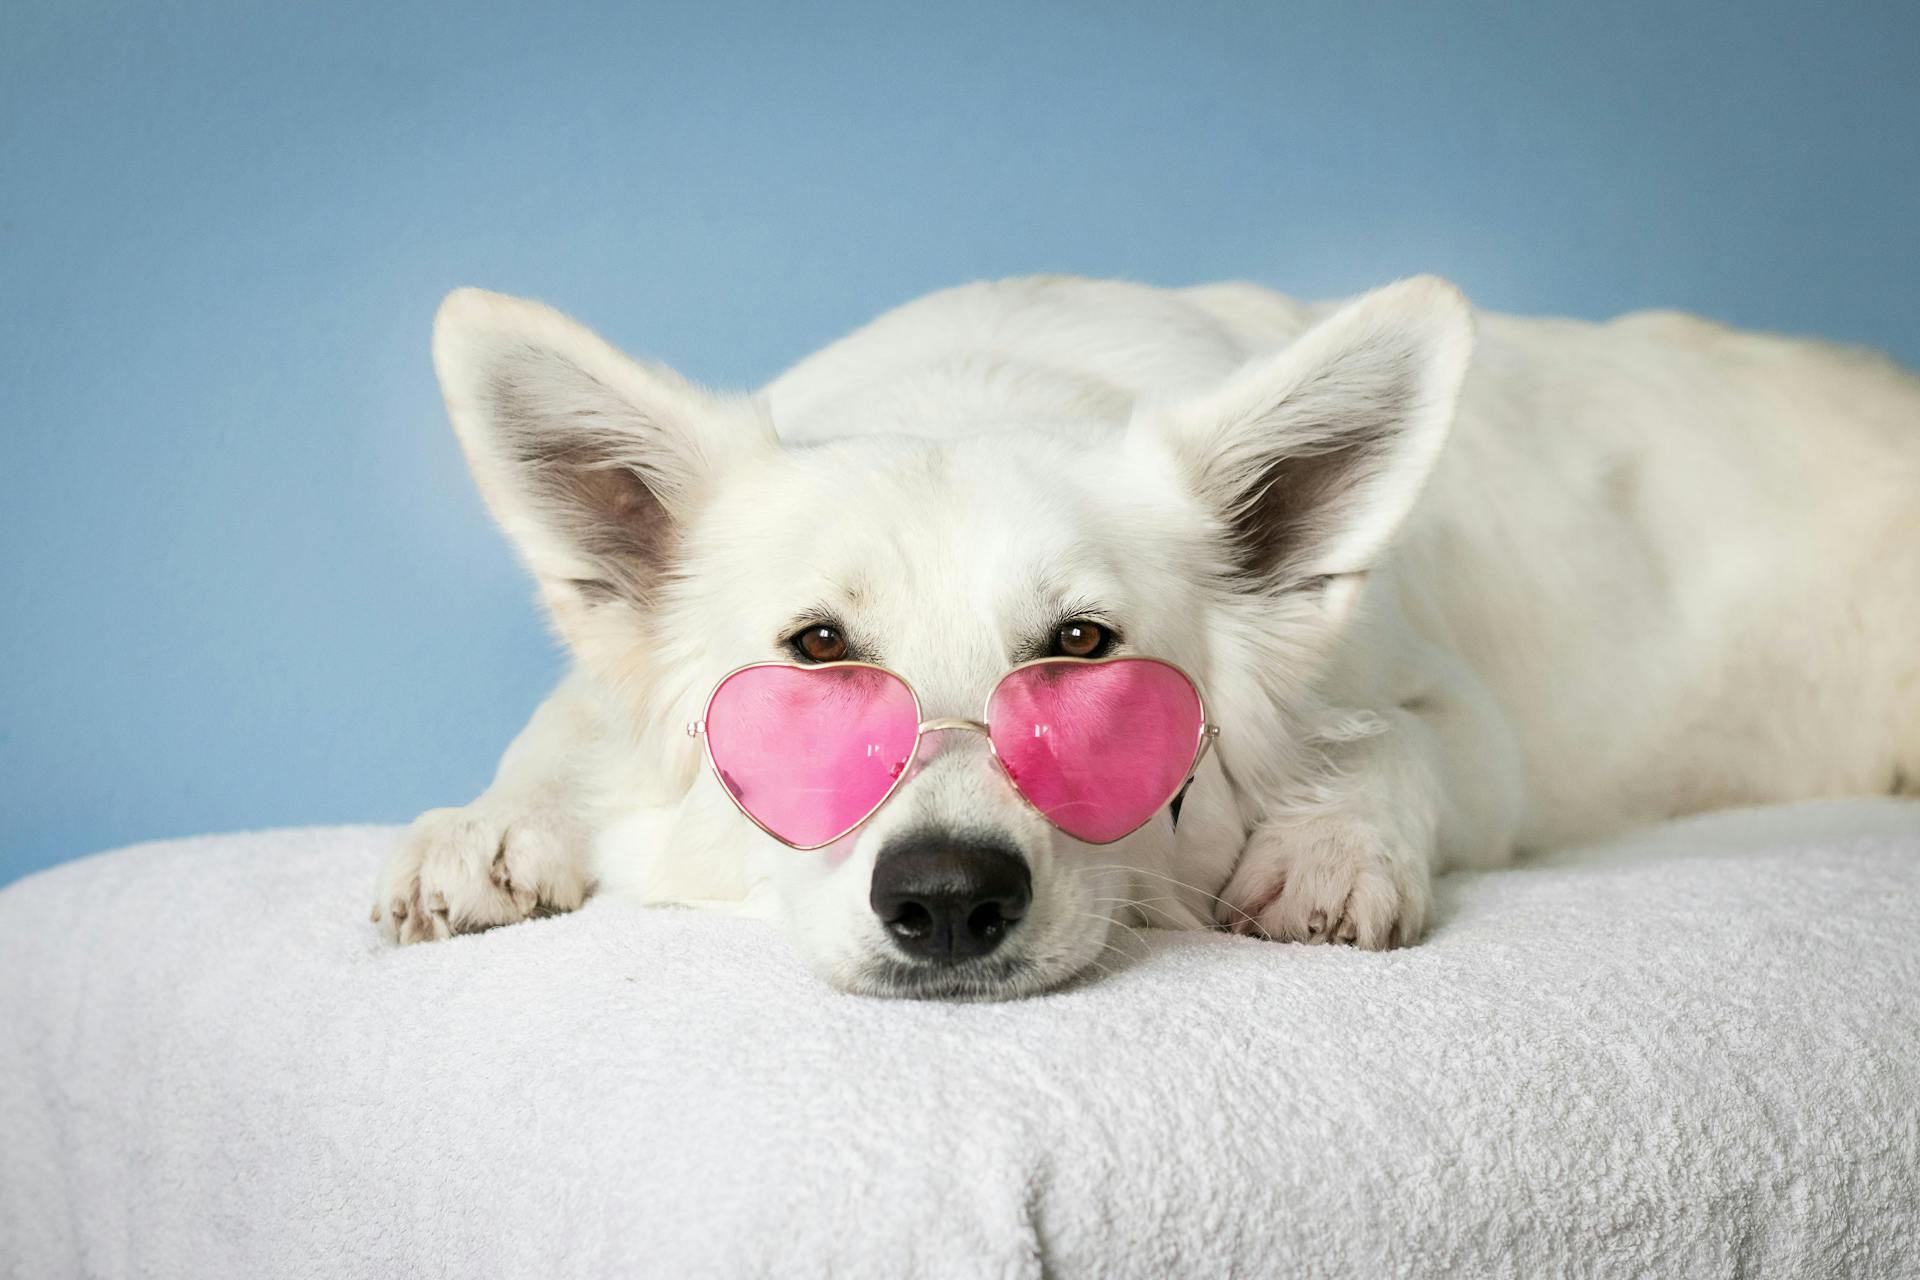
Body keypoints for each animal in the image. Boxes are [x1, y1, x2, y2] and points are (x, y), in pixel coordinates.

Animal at [366, 278, 1912, 997]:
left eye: (1082, 646)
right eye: (816, 652)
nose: (946, 902)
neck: (984, 385)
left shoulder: (1470, 725)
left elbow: (1394, 749)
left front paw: (1328, 845)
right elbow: (561, 727)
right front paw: (485, 825)